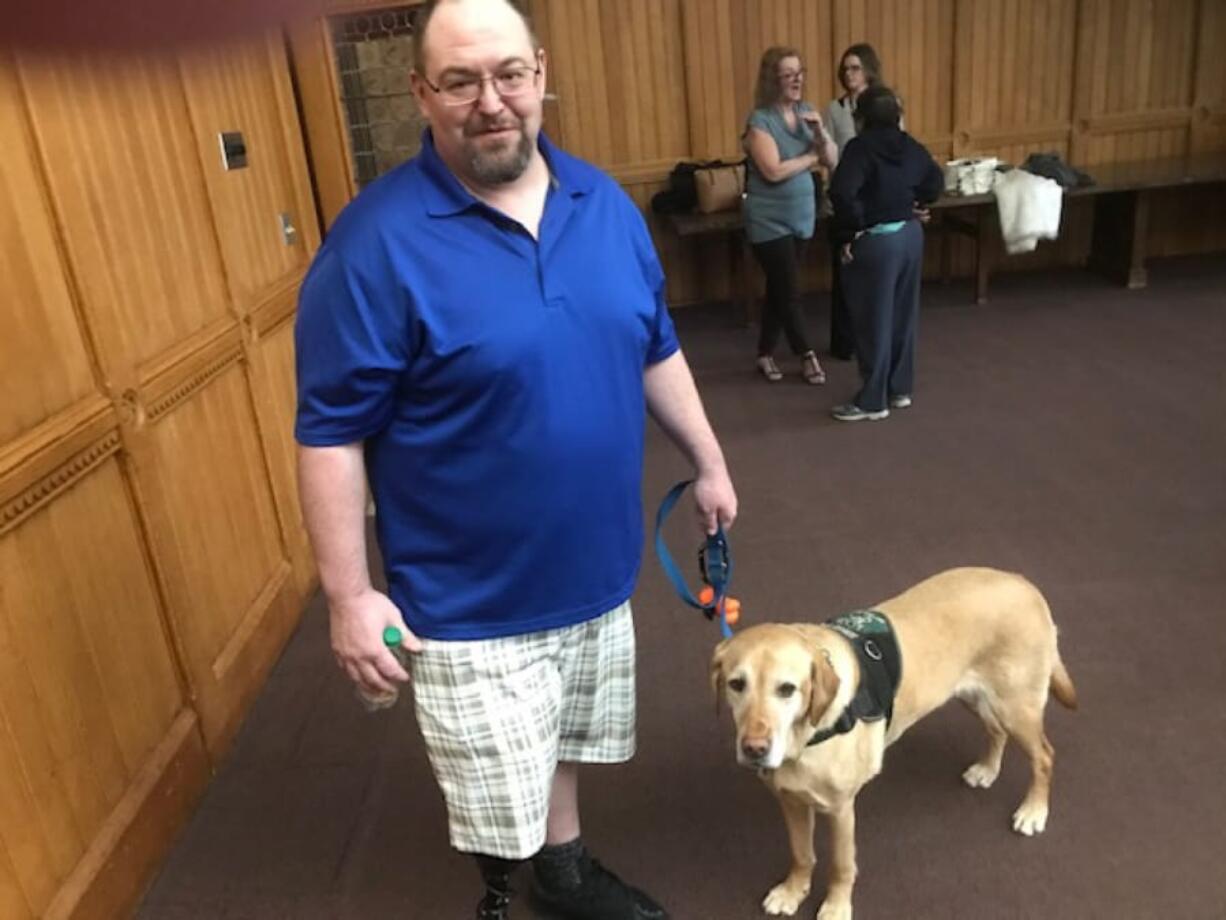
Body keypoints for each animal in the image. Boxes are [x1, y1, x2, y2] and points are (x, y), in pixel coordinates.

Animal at [711, 569, 1073, 920]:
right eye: (736, 684)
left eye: (787, 689)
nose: (754, 749)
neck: (804, 740)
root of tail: (1024, 584)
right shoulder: (792, 802)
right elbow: (802, 854)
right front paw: (792, 891)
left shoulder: (841, 809)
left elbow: (841, 866)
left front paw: (836, 907)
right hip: (975, 696)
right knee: (996, 730)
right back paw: (987, 769)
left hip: (1016, 706)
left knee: (1044, 756)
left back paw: (1033, 811)